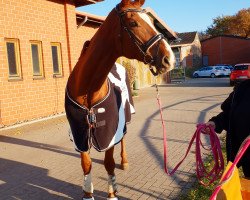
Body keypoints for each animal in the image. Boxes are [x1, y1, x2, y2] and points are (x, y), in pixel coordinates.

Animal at [65, 0, 175, 199]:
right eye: (133, 23)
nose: (169, 59)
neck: (87, 90)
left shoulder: (109, 132)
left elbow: (109, 162)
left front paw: (112, 193)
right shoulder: (80, 133)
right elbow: (86, 164)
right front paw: (87, 193)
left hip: (123, 118)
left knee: (122, 138)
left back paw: (124, 162)